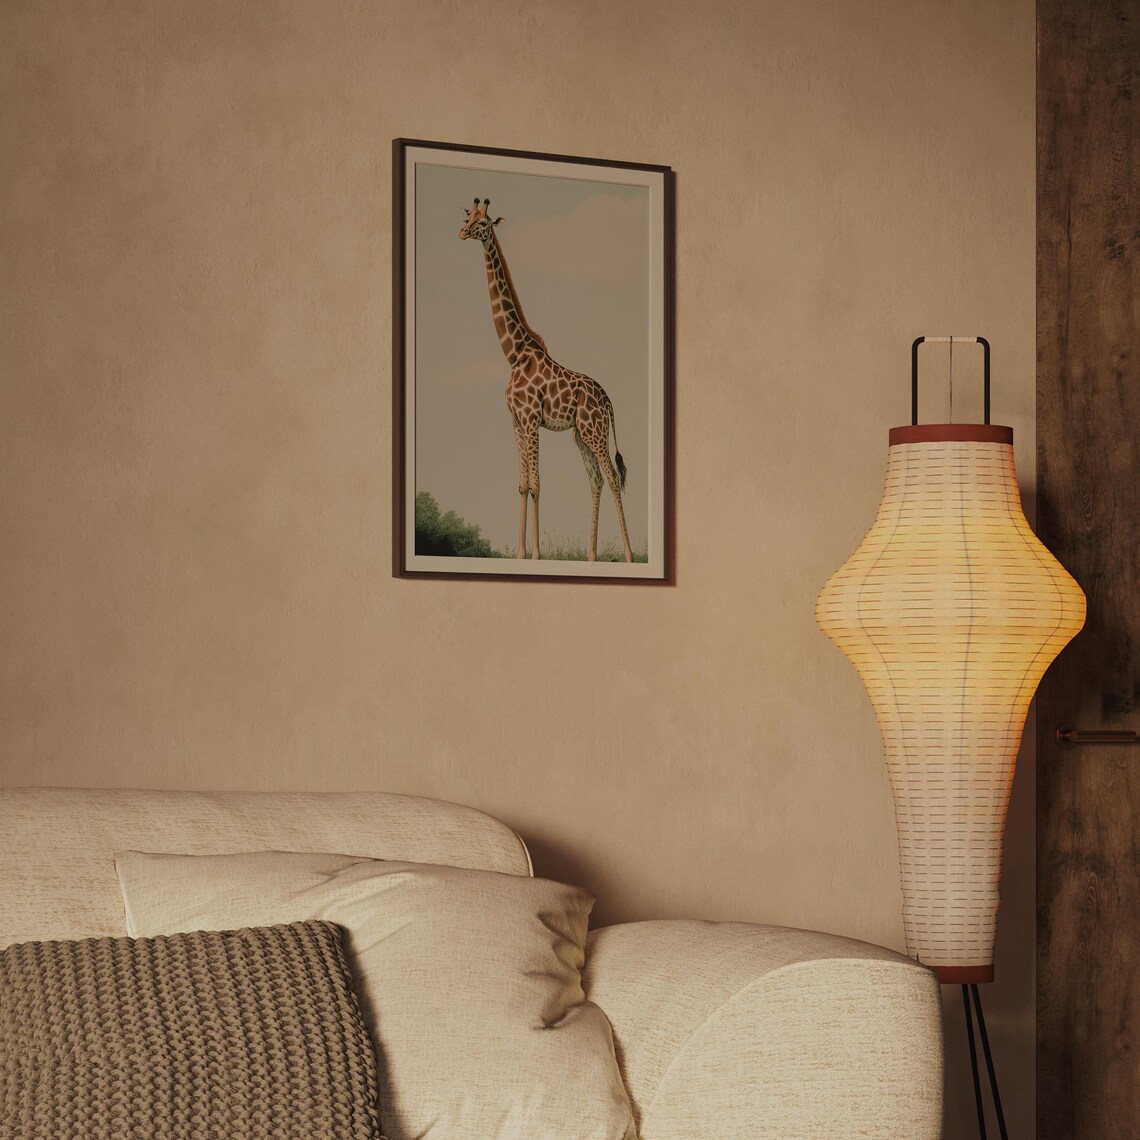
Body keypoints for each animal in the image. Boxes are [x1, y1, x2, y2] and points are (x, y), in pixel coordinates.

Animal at [458, 197, 634, 563]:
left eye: (484, 223)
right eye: (468, 217)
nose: (462, 232)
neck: (514, 353)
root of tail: (608, 400)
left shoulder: (529, 419)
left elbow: (537, 483)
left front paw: (537, 554)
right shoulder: (515, 421)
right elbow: (522, 483)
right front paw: (521, 554)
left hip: (595, 432)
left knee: (612, 477)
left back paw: (627, 555)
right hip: (580, 435)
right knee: (596, 479)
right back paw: (591, 556)